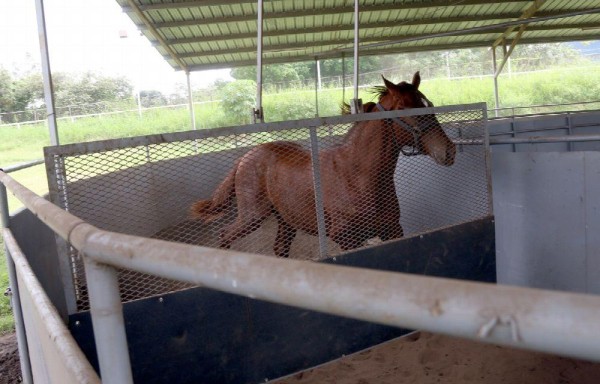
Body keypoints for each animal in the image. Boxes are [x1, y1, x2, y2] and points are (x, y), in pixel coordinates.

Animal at [192, 72, 454, 258]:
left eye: (429, 103)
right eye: (406, 109)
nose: (448, 151)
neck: (356, 175)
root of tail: (245, 157)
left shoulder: (392, 230)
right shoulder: (347, 239)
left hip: (285, 219)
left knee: (280, 248)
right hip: (252, 216)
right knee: (225, 236)